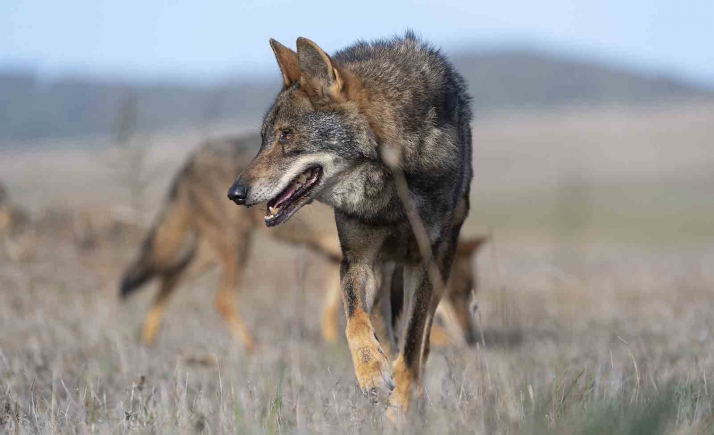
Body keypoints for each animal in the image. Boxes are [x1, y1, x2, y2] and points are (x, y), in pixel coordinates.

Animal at [120, 135, 482, 352]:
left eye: (469, 293)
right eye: (455, 294)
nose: (471, 338)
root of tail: (193, 157)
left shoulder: (336, 259)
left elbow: (331, 311)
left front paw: (334, 344)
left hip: (212, 252)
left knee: (168, 278)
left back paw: (148, 342)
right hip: (234, 249)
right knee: (219, 299)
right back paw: (252, 348)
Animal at [227, 32, 472, 414]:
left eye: (287, 135)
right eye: (264, 139)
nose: (235, 193)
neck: (389, 186)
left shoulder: (423, 262)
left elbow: (412, 347)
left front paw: (400, 408)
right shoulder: (357, 261)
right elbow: (355, 323)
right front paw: (372, 373)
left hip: (439, 267)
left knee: (422, 339)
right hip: (386, 271)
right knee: (383, 324)